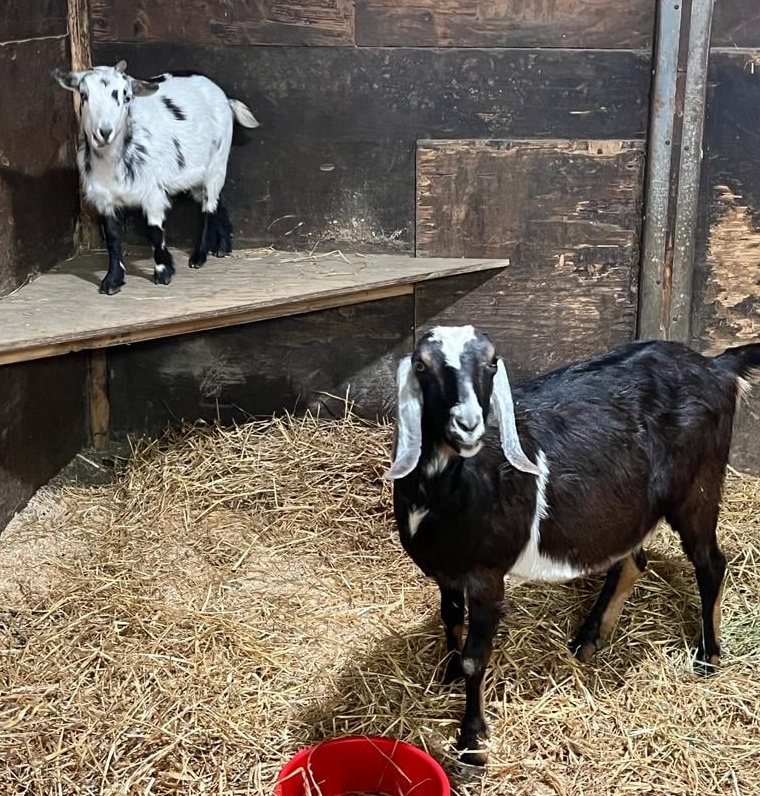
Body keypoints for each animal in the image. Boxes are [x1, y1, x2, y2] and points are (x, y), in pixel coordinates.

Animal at [54, 59, 258, 296]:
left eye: (126, 96)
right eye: (84, 95)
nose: (104, 132)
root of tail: (225, 99)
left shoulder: (152, 193)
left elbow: (154, 231)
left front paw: (163, 272)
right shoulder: (105, 198)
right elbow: (112, 238)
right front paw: (112, 280)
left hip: (217, 161)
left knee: (208, 207)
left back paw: (198, 257)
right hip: (193, 176)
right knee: (217, 202)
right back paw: (223, 247)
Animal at [386, 326, 760, 768]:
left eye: (492, 363)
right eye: (421, 364)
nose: (468, 425)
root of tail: (716, 367)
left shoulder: (486, 575)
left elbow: (477, 655)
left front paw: (471, 741)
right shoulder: (445, 571)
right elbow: (450, 619)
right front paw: (449, 675)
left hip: (697, 487)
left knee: (710, 562)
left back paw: (708, 655)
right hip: (631, 509)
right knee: (632, 561)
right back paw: (589, 638)